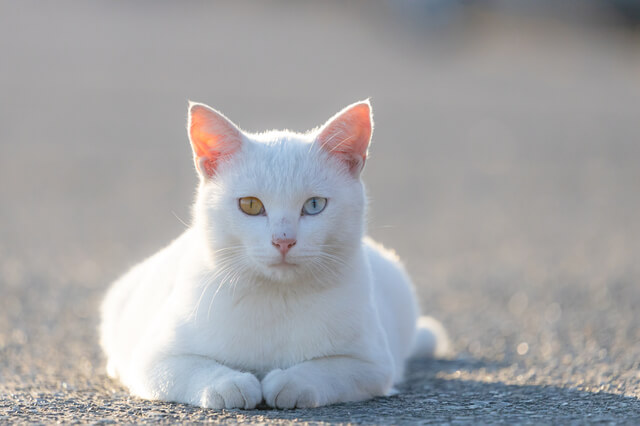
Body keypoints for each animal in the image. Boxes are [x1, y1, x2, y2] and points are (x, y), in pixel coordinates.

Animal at [101, 100, 450, 410]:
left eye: (314, 205)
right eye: (250, 205)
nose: (284, 240)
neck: (276, 297)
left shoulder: (371, 364)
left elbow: (329, 370)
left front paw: (292, 383)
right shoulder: (155, 358)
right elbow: (193, 368)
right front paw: (229, 384)